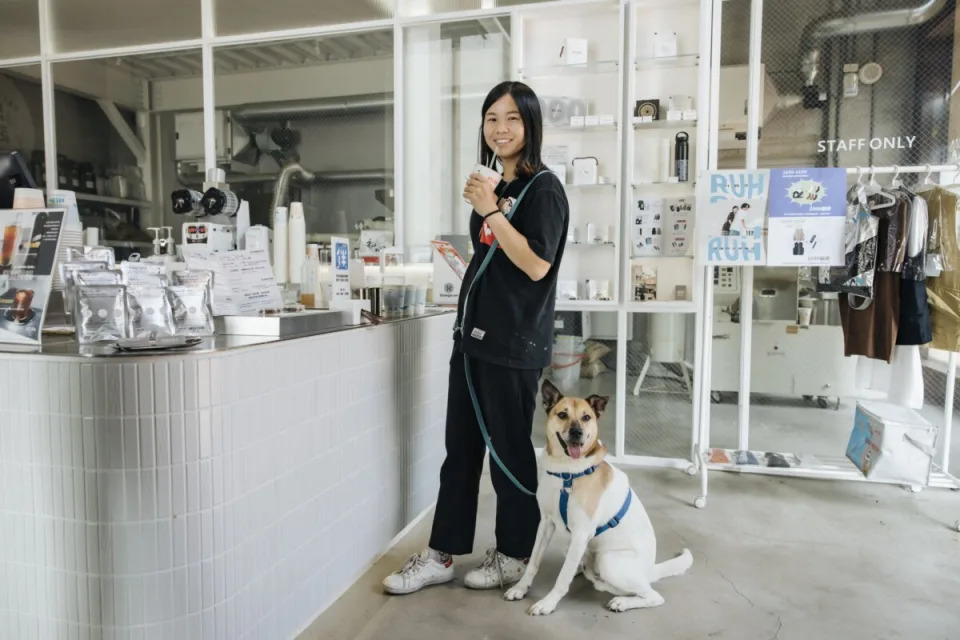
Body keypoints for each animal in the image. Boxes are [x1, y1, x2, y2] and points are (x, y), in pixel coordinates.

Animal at [502, 380, 688, 616]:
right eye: (562, 414)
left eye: (586, 417)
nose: (577, 433)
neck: (567, 473)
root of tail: (649, 571)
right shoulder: (545, 523)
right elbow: (534, 561)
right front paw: (520, 588)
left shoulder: (582, 533)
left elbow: (562, 579)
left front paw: (548, 603)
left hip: (608, 561)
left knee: (653, 596)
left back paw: (622, 601)